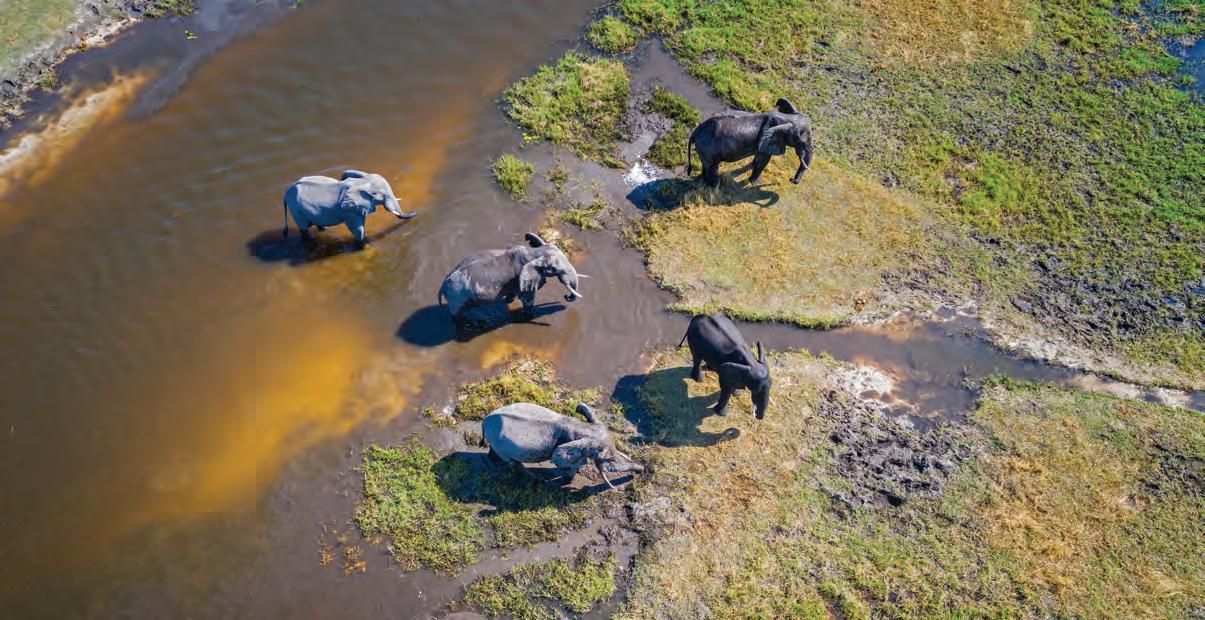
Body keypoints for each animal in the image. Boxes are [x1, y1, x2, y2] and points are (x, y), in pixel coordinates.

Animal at [282, 170, 416, 246]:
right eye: (381, 195)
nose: (415, 212)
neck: (362, 182)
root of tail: (286, 193)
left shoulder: (357, 208)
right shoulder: (349, 210)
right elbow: (357, 229)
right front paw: (362, 246)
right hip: (296, 210)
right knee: (303, 228)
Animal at [437, 232, 584, 329]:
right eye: (553, 268)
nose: (566, 297)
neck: (536, 252)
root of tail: (443, 285)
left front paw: (509, 301)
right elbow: (528, 300)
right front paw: (530, 316)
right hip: (457, 298)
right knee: (457, 315)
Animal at [483, 402, 644, 488]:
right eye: (603, 457)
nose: (642, 471)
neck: (582, 427)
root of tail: (484, 421)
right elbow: (564, 463)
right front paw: (566, 482)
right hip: (500, 443)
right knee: (513, 462)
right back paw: (536, 479)